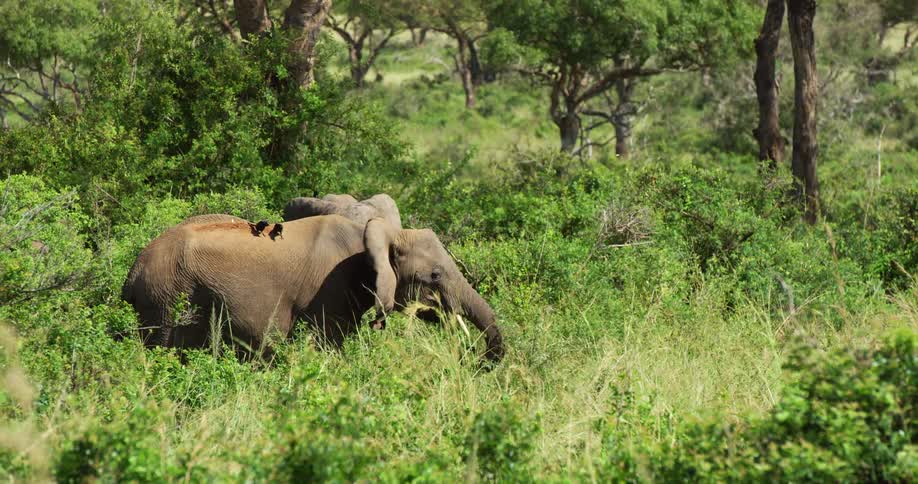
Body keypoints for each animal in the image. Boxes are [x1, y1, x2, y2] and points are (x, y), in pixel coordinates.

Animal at [121, 214, 504, 362]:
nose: (477, 359)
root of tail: (133, 272)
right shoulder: (332, 288)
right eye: (435, 275)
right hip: (166, 298)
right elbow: (330, 343)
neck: (374, 232)